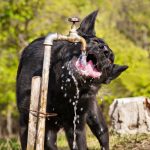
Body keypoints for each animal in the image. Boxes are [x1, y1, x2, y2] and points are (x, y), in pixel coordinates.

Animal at [16, 9, 127, 149]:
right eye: (95, 42)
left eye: (111, 58)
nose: (105, 51)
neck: (61, 88)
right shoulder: (27, 120)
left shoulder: (75, 126)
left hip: (95, 118)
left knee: (103, 136)